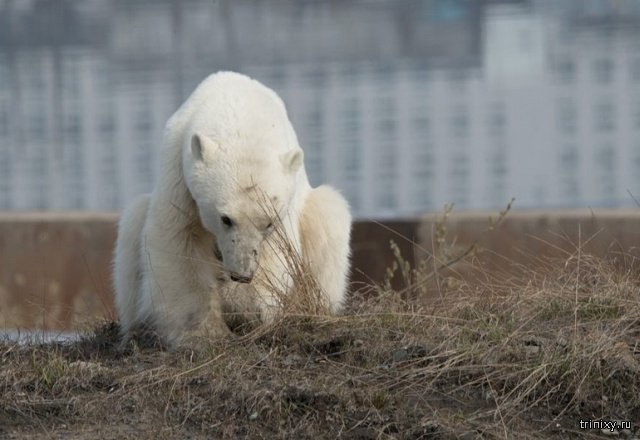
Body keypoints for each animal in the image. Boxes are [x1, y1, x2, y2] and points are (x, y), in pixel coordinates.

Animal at [113, 71, 352, 348]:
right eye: (225, 219)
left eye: (268, 223)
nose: (242, 273)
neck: (240, 109)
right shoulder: (178, 174)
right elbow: (177, 239)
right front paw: (202, 333)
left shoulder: (285, 207)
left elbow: (277, 254)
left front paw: (246, 310)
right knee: (132, 231)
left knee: (328, 219)